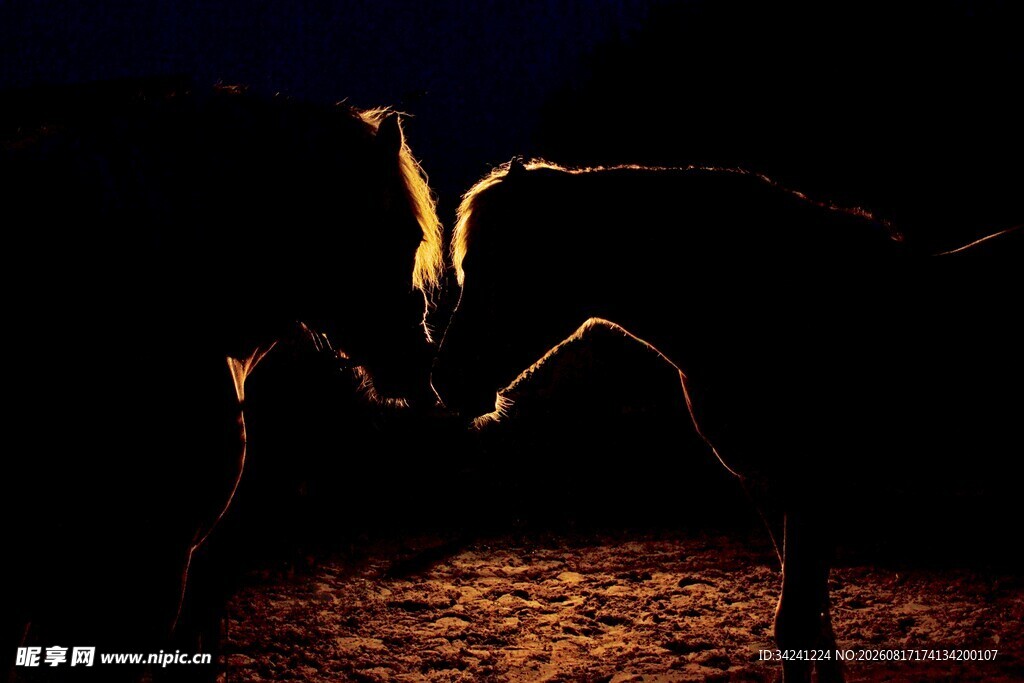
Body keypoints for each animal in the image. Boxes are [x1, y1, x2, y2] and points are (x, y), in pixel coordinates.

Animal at [430, 158, 1023, 682]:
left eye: (509, 265)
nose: (446, 379)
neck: (765, 305)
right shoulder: (766, 485)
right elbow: (809, 621)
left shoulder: (811, 484)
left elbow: (801, 624)